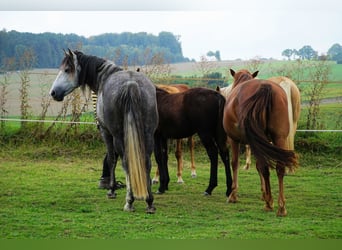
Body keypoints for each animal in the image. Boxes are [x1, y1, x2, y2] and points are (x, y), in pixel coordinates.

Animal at [223, 69, 298, 217]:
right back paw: (281, 207)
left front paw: (233, 195)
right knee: (279, 168)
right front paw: (265, 194)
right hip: (279, 137)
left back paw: (269, 204)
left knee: (264, 167)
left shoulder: (234, 140)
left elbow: (235, 163)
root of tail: (265, 87)